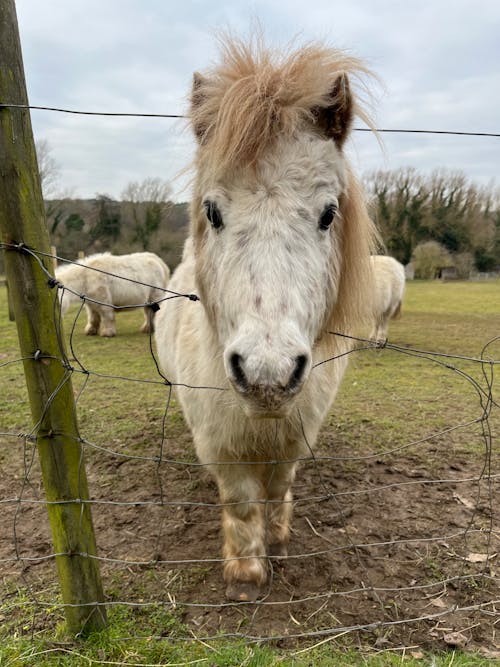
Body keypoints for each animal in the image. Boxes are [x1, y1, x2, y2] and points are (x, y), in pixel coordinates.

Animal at [154, 34, 376, 604]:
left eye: (328, 214)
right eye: (212, 211)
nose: (266, 375)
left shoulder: (294, 436)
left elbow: (277, 489)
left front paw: (276, 539)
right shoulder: (221, 444)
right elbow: (240, 501)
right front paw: (245, 576)